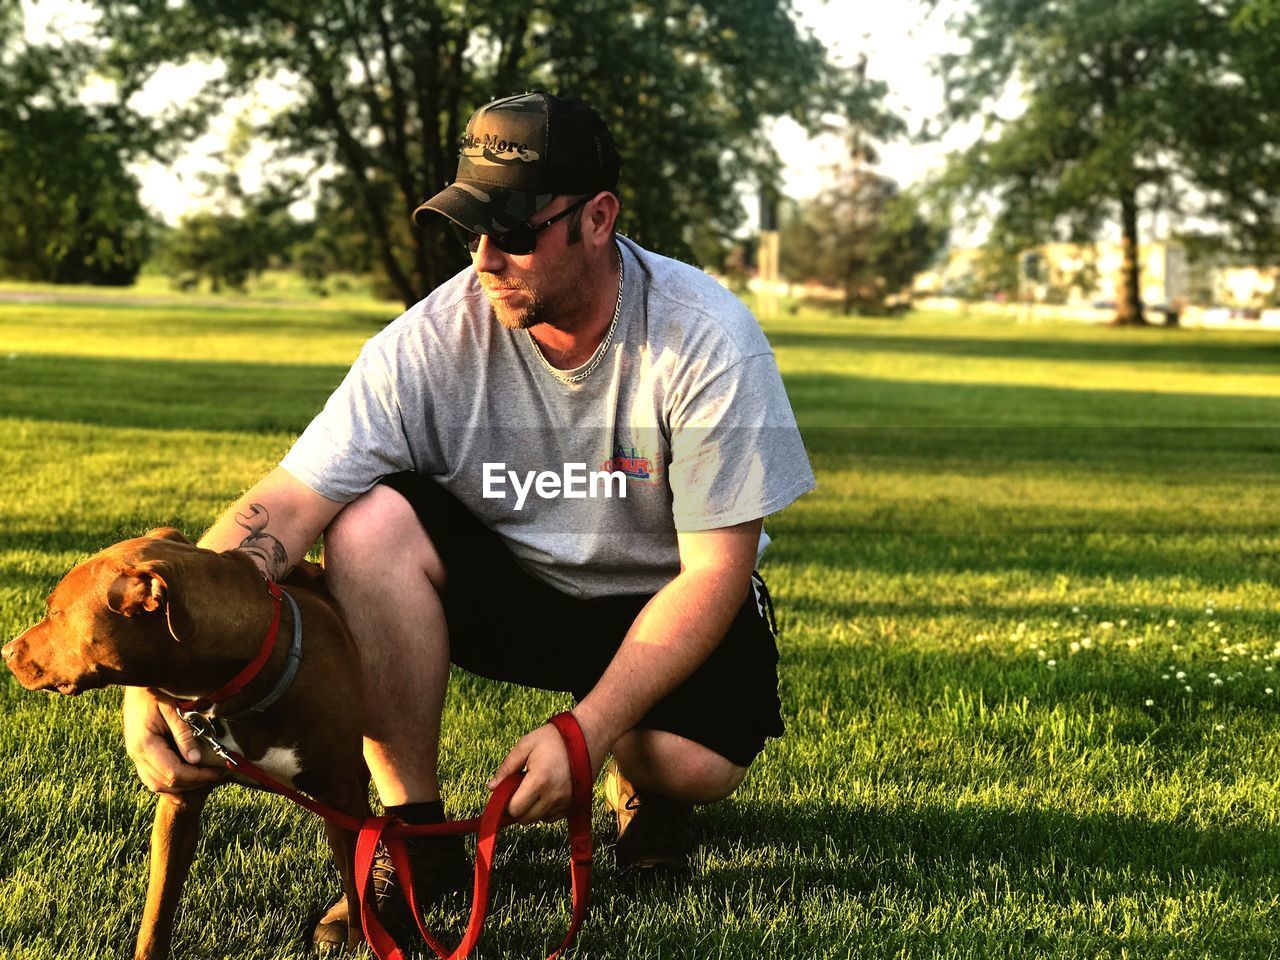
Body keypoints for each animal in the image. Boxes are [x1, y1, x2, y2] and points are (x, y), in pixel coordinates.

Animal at [1, 529, 371, 957]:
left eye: (56, 613)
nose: (6, 651)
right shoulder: (178, 800)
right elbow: (158, 906)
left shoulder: (342, 799)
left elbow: (359, 896)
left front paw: (361, 942)